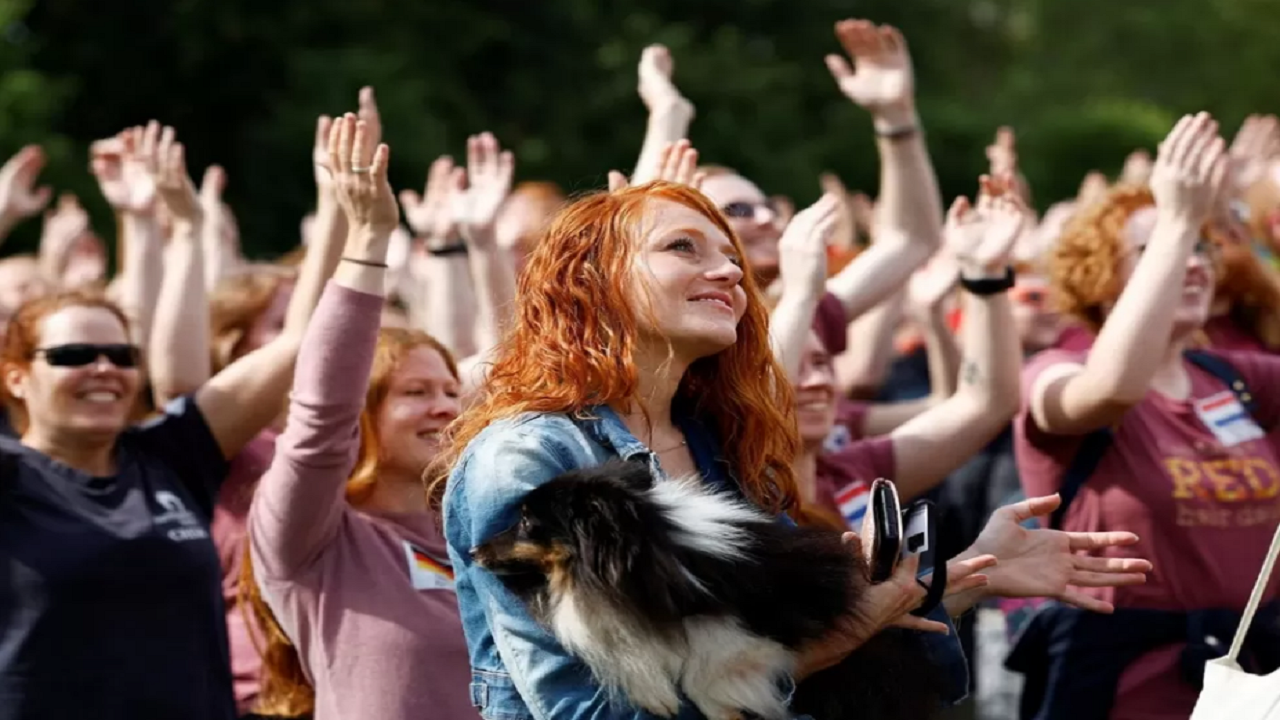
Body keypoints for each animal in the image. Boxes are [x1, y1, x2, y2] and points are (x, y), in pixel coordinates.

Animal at [473, 458, 952, 717]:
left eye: (527, 522)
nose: (474, 550)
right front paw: (653, 692)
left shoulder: (766, 629)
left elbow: (709, 663)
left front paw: (713, 704)